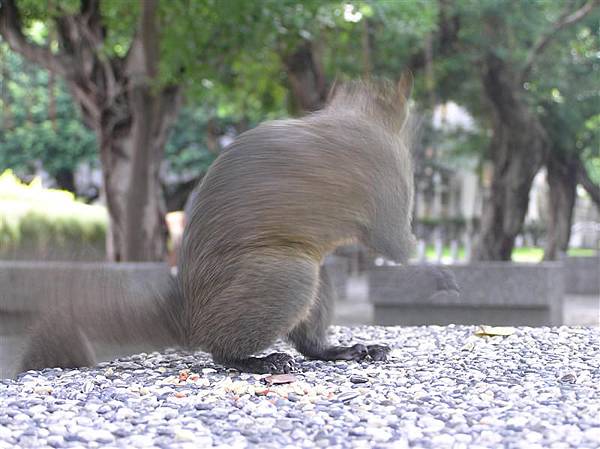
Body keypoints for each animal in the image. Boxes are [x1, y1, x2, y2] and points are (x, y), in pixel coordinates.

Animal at [15, 74, 426, 374]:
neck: (357, 116)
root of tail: (187, 317)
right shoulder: (388, 177)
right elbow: (395, 244)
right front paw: (419, 256)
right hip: (287, 278)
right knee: (221, 351)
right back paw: (263, 362)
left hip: (312, 278)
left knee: (309, 342)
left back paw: (346, 350)